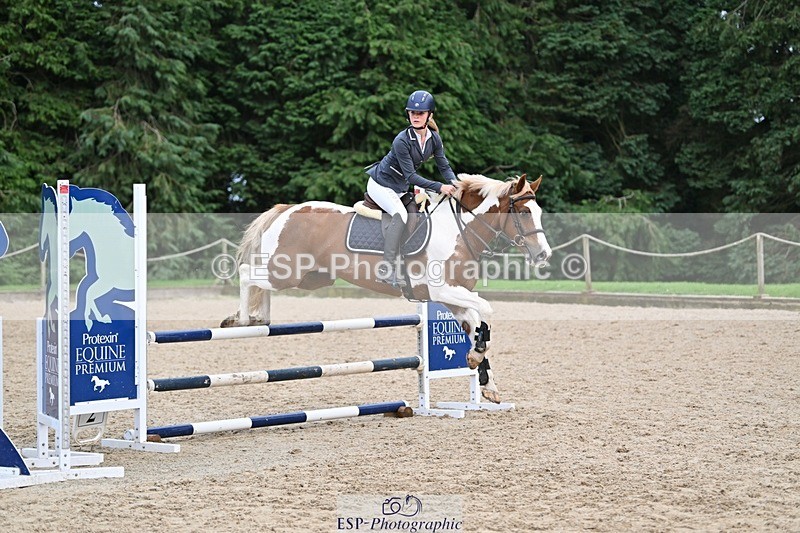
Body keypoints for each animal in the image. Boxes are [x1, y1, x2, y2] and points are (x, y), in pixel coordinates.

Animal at [221, 173, 552, 403]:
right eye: (524, 213)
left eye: (539, 213)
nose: (543, 255)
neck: (458, 230)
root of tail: (286, 210)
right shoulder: (440, 291)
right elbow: (485, 311)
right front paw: (476, 356)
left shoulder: (453, 296)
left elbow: (476, 322)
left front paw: (484, 378)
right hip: (287, 272)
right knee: (248, 274)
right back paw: (243, 319)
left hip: (310, 277)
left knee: (261, 284)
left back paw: (260, 318)